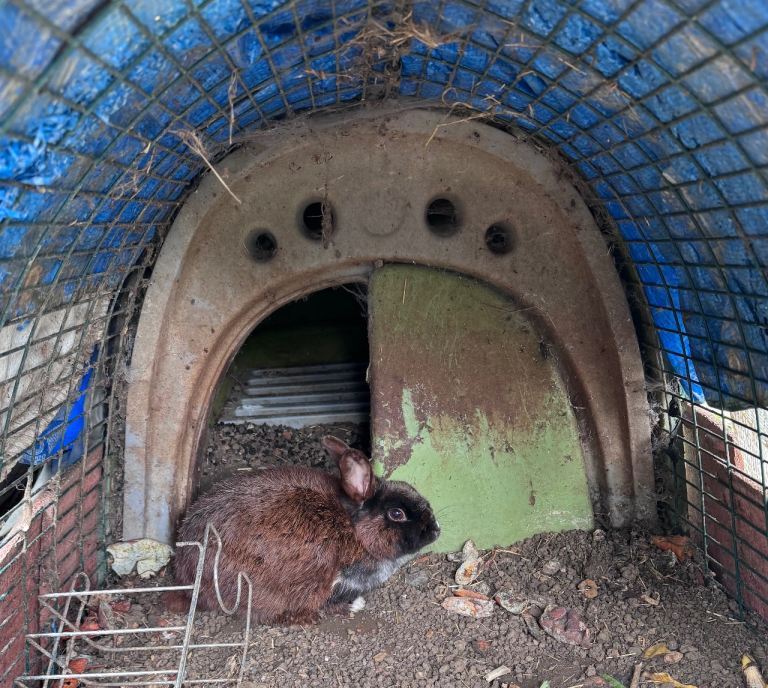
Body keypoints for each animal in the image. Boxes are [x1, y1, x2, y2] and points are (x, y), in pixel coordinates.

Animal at [168, 436, 440, 624]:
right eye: (397, 514)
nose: (436, 530)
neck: (355, 531)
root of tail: (186, 572)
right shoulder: (333, 582)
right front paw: (354, 606)